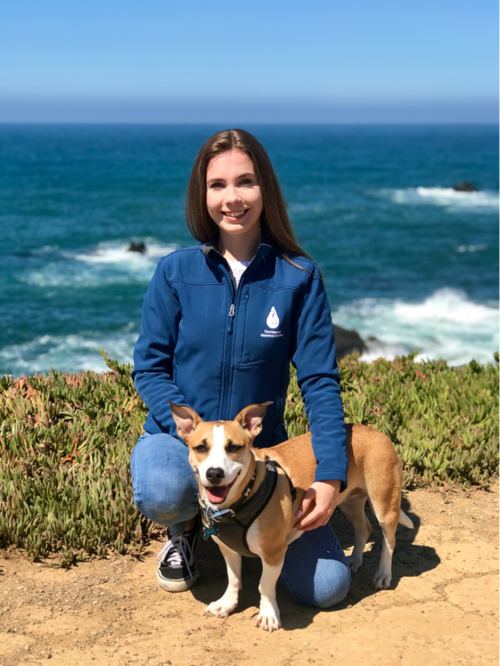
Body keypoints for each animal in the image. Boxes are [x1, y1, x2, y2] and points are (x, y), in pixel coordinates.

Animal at [170, 396, 412, 632]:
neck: (240, 501)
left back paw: (383, 574)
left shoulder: (273, 553)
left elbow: (264, 585)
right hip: (348, 502)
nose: (214, 473)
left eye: (234, 447)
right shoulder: (228, 549)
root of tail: (376, 432)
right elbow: (234, 579)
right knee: (364, 528)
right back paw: (355, 560)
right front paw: (227, 604)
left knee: (389, 539)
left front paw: (268, 615)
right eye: (201, 448)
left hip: (384, 503)